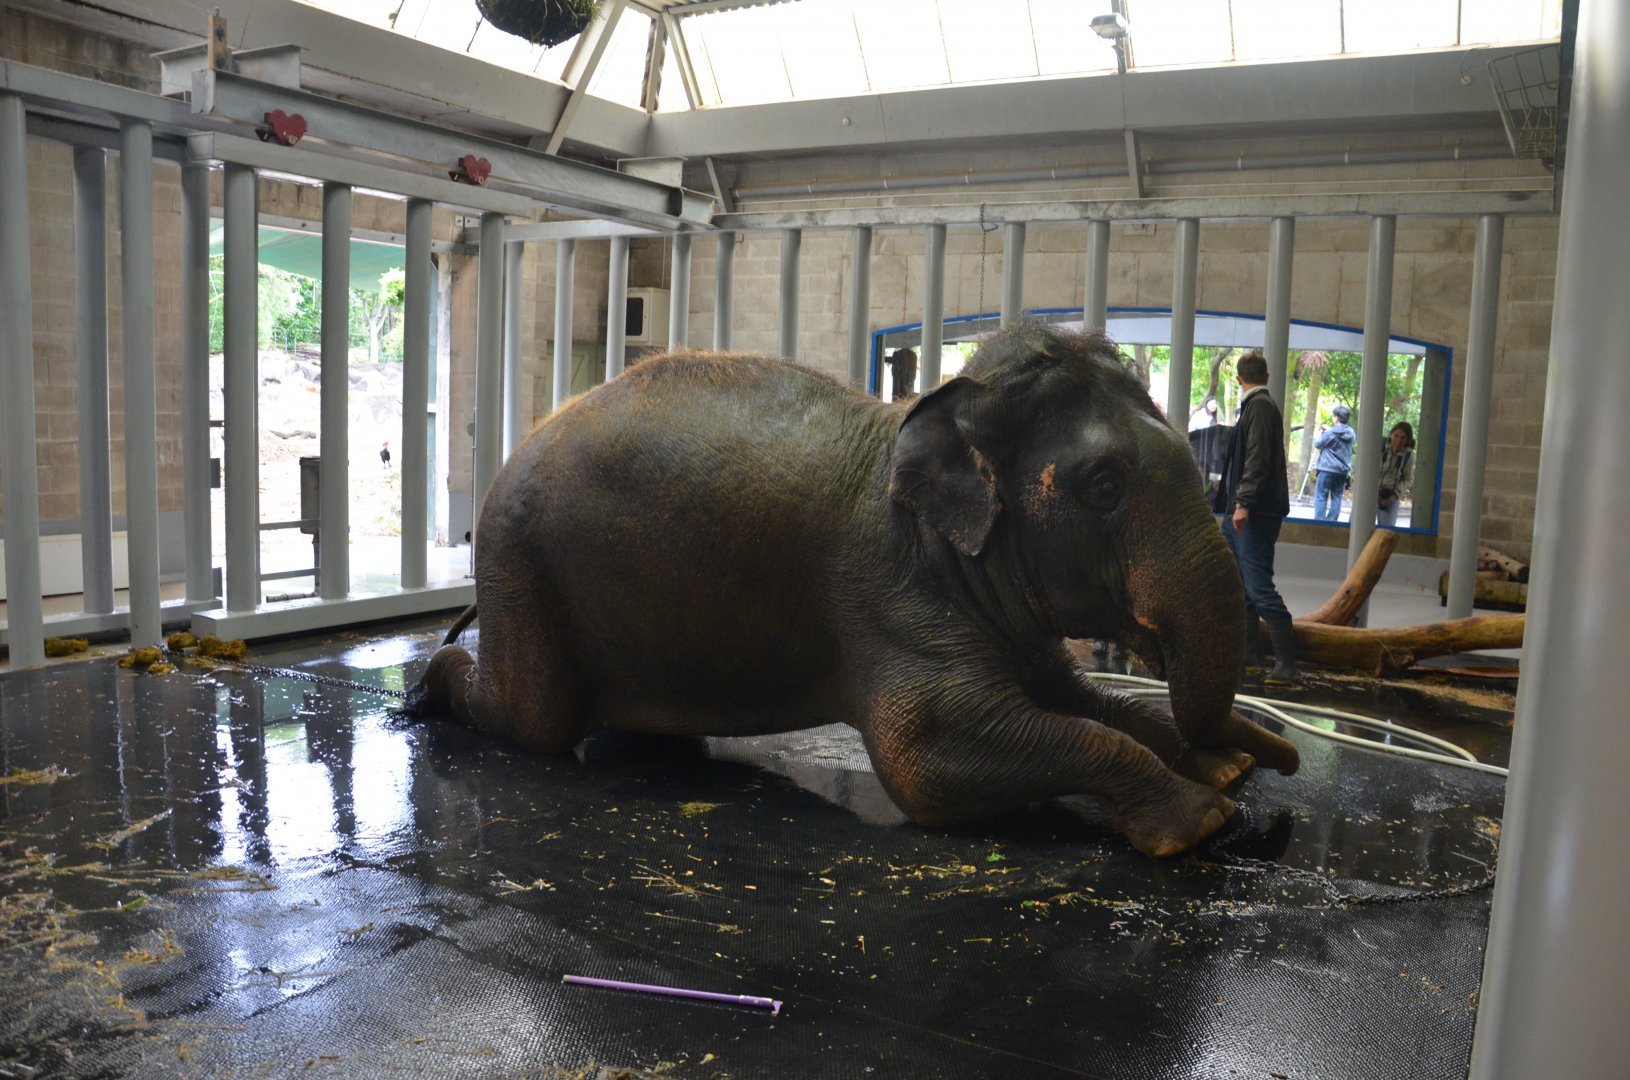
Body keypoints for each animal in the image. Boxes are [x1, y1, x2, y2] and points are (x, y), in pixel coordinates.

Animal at [409, 323, 1299, 856]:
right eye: (1106, 486)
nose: (1281, 749)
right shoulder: (890, 599)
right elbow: (926, 760)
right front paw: (1204, 815)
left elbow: (1083, 698)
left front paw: (1223, 768)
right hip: (522, 565)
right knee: (533, 720)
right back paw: (432, 682)